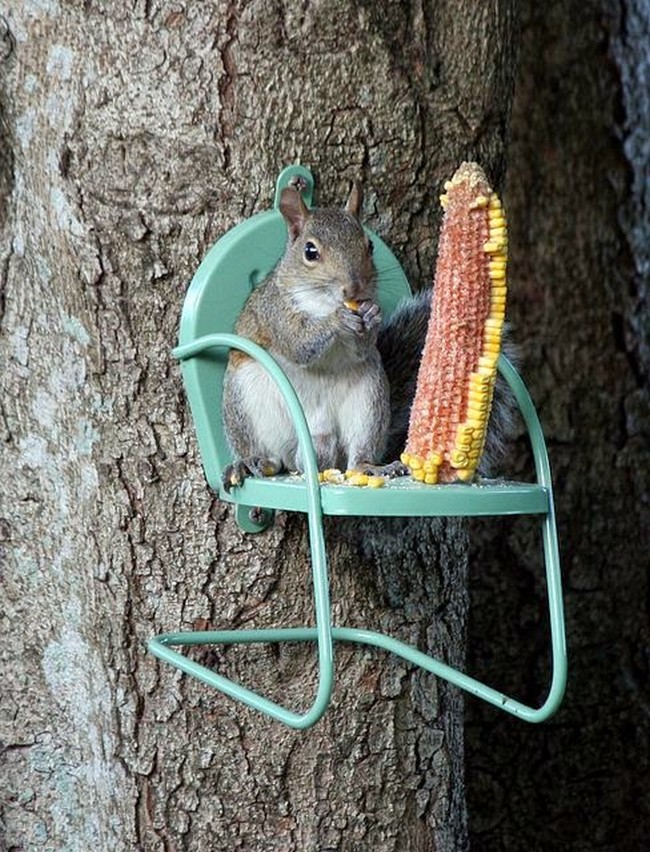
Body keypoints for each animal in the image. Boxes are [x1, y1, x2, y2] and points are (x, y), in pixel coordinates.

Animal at [220, 185, 512, 492]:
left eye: (369, 246)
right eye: (310, 252)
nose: (354, 289)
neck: (322, 302)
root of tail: (318, 448)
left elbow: (362, 349)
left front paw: (371, 316)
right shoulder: (276, 312)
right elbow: (299, 343)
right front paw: (337, 319)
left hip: (369, 401)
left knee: (356, 454)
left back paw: (370, 466)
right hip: (247, 400)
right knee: (273, 458)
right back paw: (252, 462)